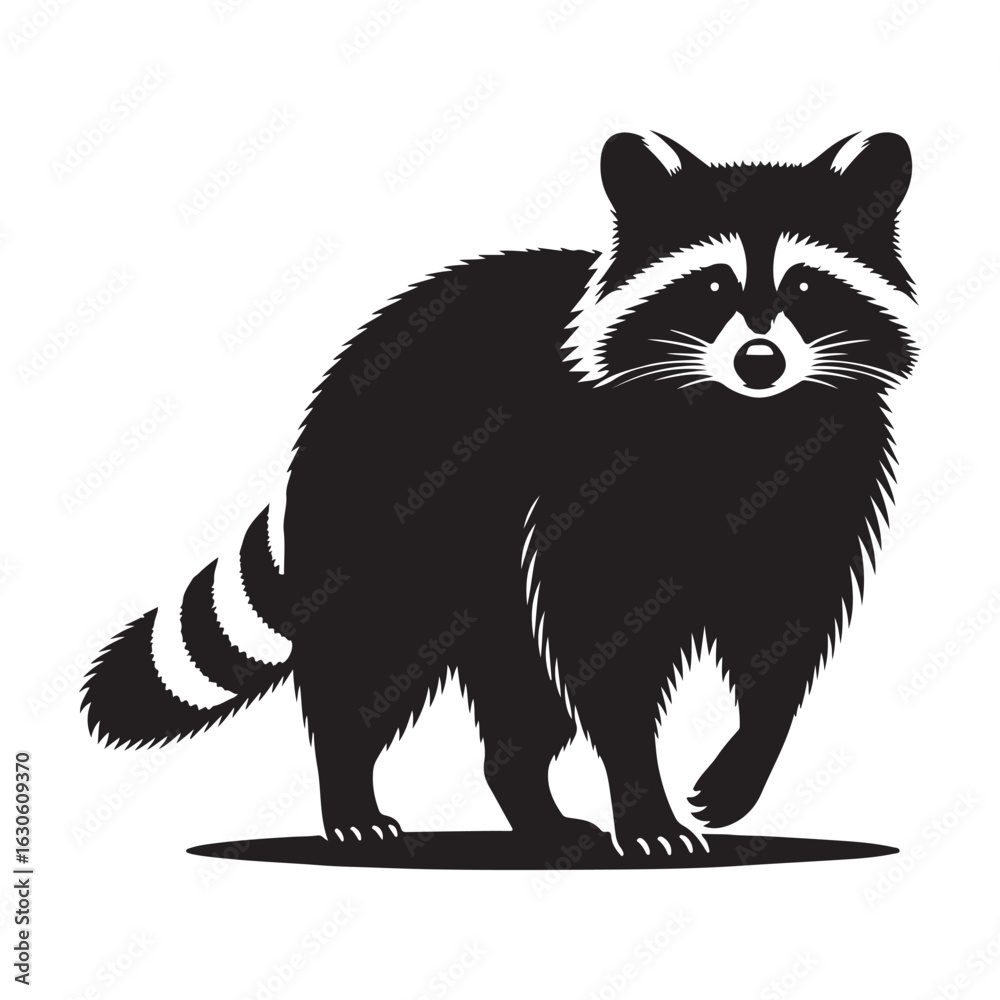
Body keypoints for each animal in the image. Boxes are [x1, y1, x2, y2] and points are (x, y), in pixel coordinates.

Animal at [83, 131, 916, 859]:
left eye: (805, 285)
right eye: (712, 286)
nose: (759, 361)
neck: (742, 423)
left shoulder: (815, 477)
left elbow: (782, 632)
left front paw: (742, 764)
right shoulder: (598, 476)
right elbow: (609, 647)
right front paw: (644, 799)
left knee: (522, 700)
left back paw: (532, 807)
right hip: (398, 514)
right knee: (374, 654)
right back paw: (349, 784)